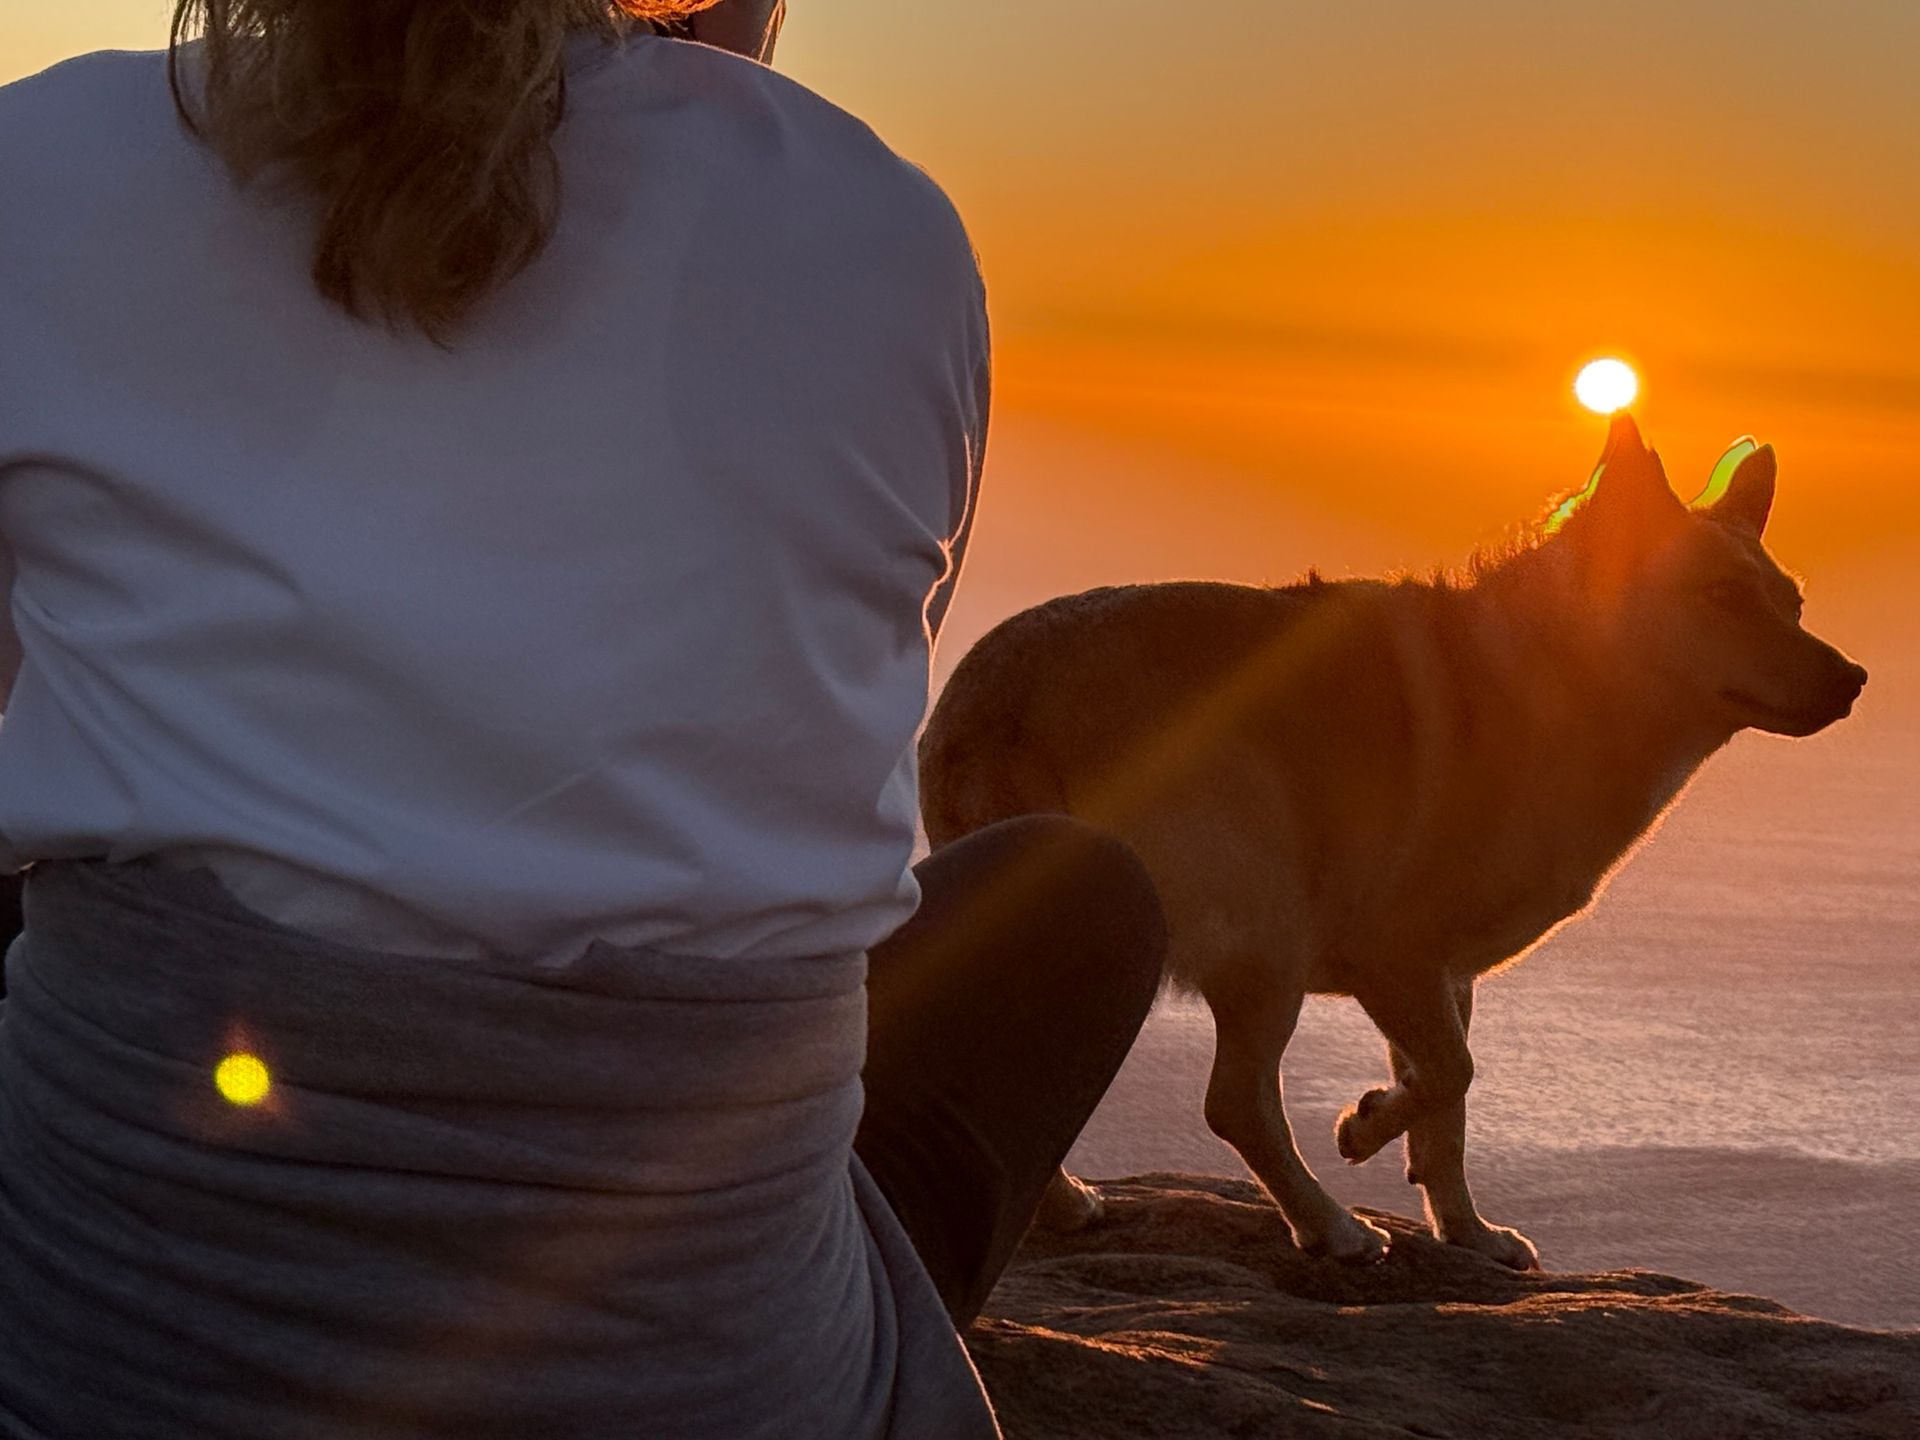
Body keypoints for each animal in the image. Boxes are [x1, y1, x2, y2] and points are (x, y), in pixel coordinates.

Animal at [921, 410, 1866, 1267]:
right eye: (1724, 597)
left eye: (1794, 605)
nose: (1855, 679)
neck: (1561, 678)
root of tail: (1002, 700)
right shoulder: (1395, 958)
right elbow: (1450, 1076)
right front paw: (1366, 1125)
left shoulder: (1446, 978)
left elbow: (1449, 1113)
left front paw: (1468, 1234)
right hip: (1266, 936)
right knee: (1237, 1103)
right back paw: (1329, 1228)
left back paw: (1068, 1206)